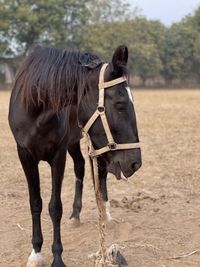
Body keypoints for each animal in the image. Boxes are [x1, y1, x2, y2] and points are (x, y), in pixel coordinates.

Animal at [8, 46, 141, 267]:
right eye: (120, 104)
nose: (135, 163)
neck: (35, 105)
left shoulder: (58, 155)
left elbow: (55, 207)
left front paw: (57, 258)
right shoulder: (25, 155)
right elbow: (35, 202)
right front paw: (36, 253)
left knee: (100, 173)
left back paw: (105, 214)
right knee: (80, 166)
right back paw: (76, 215)